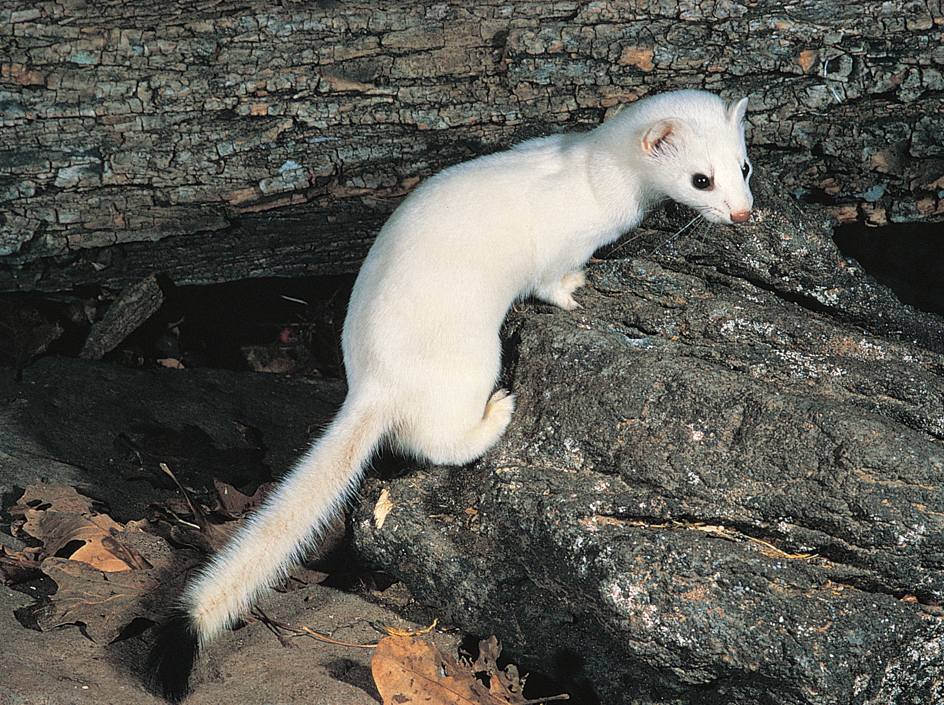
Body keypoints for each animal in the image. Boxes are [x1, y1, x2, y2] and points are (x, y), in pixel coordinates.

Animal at [146, 89, 752, 700]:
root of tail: (373, 384)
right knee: (439, 444)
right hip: (474, 358)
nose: (744, 214)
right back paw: (497, 412)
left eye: (744, 165)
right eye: (701, 179)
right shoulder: (557, 250)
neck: (590, 172)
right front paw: (577, 291)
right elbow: (550, 285)